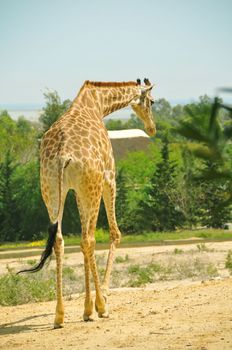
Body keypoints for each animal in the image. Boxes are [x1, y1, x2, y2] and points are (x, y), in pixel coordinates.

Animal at [18, 76, 156, 328]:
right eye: (152, 101)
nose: (152, 129)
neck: (97, 103)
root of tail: (62, 155)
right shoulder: (109, 176)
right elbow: (114, 233)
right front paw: (100, 302)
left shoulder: (75, 191)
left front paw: (86, 309)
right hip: (91, 187)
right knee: (88, 239)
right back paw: (101, 307)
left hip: (51, 190)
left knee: (60, 240)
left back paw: (59, 315)